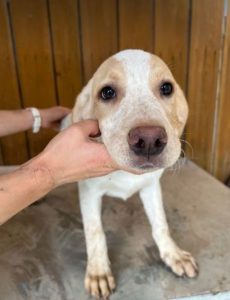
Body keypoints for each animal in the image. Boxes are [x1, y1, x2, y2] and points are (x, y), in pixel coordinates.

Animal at [62, 49, 198, 298]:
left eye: (167, 88)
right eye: (107, 92)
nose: (149, 140)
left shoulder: (151, 187)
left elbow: (160, 224)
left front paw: (173, 254)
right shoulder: (89, 192)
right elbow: (95, 232)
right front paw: (98, 272)